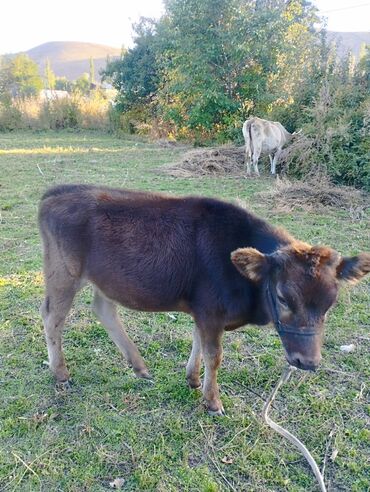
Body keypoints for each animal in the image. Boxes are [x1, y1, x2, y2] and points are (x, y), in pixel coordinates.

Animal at [38, 184, 370, 416]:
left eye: (330, 303)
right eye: (283, 298)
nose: (307, 362)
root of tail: (59, 191)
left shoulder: (202, 310)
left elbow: (197, 341)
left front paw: (193, 379)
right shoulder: (211, 311)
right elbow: (214, 355)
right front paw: (212, 401)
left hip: (104, 279)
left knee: (103, 309)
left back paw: (139, 366)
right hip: (63, 273)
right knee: (53, 317)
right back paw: (61, 373)